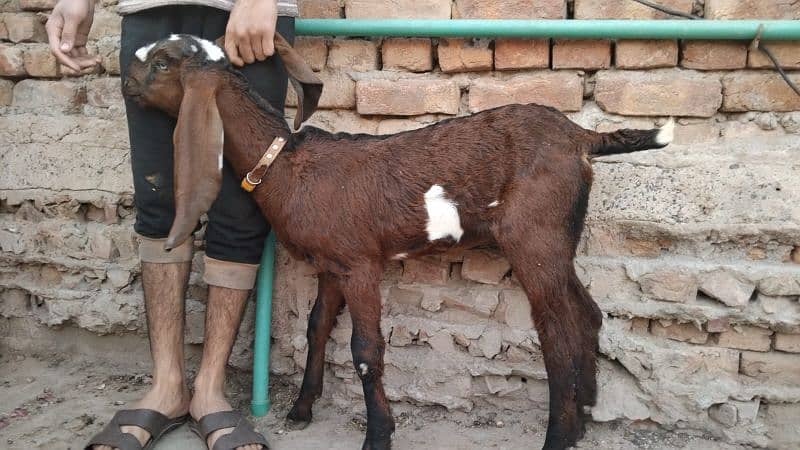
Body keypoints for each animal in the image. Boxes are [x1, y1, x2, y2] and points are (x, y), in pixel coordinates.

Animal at [123, 35, 676, 450]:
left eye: (163, 62)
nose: (125, 80)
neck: (286, 164)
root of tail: (582, 138)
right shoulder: (332, 264)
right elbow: (316, 328)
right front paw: (301, 409)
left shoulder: (360, 262)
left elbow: (366, 349)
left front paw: (378, 436)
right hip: (560, 238)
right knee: (587, 314)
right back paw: (584, 416)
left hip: (534, 236)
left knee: (557, 330)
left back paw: (559, 436)